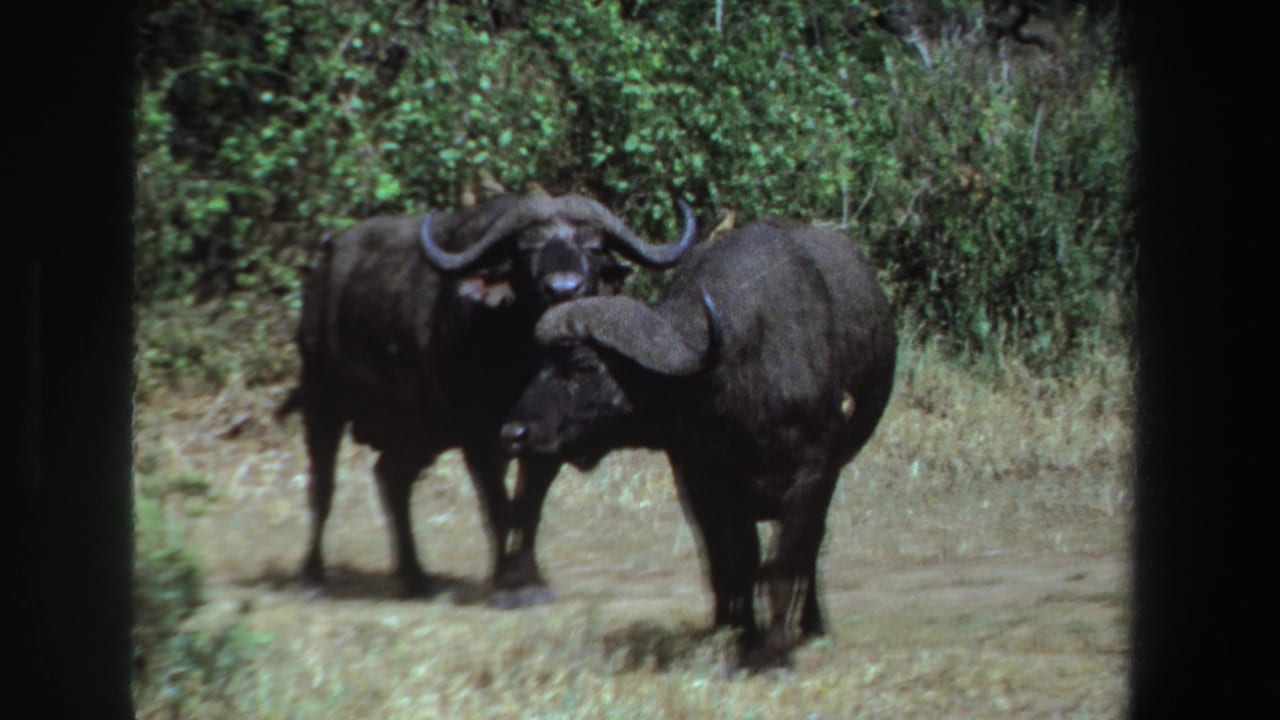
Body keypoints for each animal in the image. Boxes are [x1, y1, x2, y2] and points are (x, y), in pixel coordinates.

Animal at [278, 192, 696, 604]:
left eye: (591, 246)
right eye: (528, 249)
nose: (565, 288)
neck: (522, 358)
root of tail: (322, 268)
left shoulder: (546, 438)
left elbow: (528, 506)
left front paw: (529, 579)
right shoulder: (479, 436)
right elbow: (497, 504)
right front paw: (507, 582)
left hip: (419, 433)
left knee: (392, 477)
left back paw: (416, 577)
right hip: (322, 402)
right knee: (323, 485)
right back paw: (313, 577)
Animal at [501, 219, 897, 668]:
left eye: (584, 366)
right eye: (539, 364)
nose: (514, 433)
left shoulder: (811, 477)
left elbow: (784, 565)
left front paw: (774, 652)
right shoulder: (702, 483)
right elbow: (735, 564)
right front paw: (741, 638)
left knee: (808, 553)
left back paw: (813, 626)